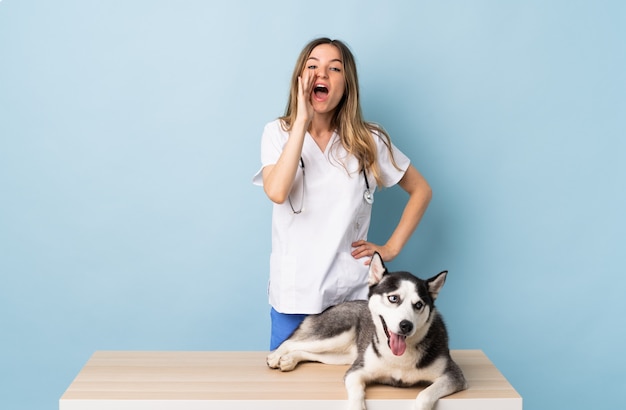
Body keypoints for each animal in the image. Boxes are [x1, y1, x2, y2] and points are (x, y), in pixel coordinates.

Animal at [266, 253, 466, 410]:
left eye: (418, 305)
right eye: (393, 298)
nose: (406, 325)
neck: (400, 358)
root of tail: (331, 306)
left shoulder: (453, 376)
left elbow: (425, 395)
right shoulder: (356, 371)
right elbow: (356, 391)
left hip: (341, 356)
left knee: (307, 352)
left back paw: (290, 360)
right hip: (335, 336)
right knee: (291, 342)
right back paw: (276, 356)